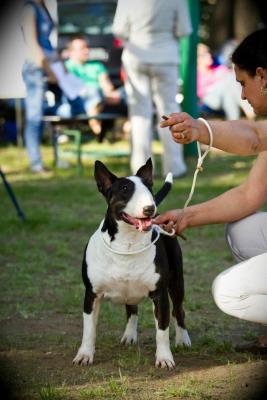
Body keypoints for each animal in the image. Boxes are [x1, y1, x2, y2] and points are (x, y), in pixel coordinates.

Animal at [73, 159, 191, 368]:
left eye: (149, 188)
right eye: (124, 189)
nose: (150, 209)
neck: (128, 243)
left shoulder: (159, 294)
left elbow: (162, 330)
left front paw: (164, 358)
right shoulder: (91, 294)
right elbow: (89, 330)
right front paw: (84, 355)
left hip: (177, 281)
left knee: (178, 309)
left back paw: (182, 339)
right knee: (131, 309)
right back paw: (129, 335)